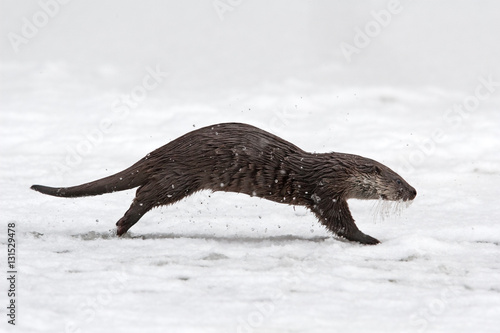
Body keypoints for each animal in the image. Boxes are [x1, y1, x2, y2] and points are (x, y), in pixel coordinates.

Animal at [29, 122, 416, 244]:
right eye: (398, 180)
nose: (414, 192)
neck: (331, 169)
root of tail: (164, 150)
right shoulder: (325, 192)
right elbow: (339, 222)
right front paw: (369, 239)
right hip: (180, 176)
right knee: (144, 193)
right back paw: (123, 226)